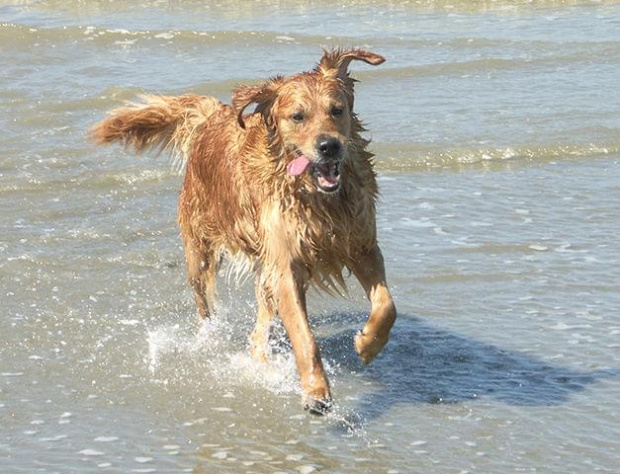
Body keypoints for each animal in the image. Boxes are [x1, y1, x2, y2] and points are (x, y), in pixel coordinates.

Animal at [92, 46, 398, 412]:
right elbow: (305, 338)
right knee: (204, 304)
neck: (318, 200)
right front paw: (316, 391)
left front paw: (368, 344)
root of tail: (213, 114)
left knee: (260, 325)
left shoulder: (361, 245)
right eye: (298, 117)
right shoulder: (285, 265)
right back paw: (212, 341)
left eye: (337, 110)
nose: (329, 146)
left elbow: (387, 306)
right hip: (200, 250)